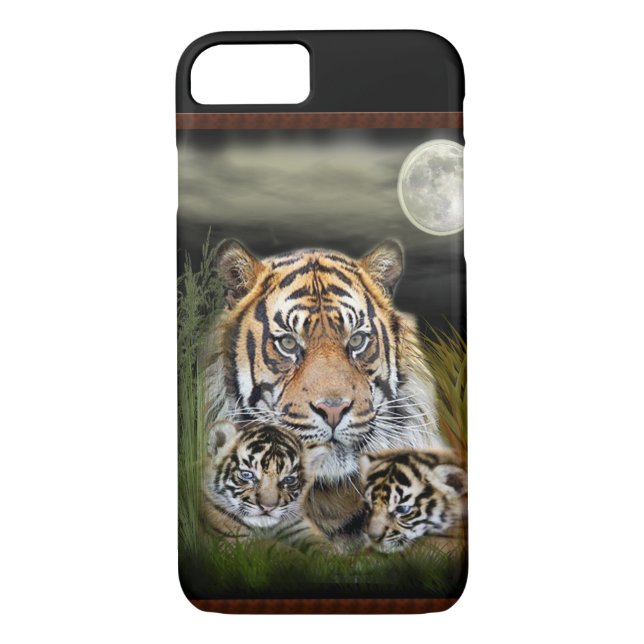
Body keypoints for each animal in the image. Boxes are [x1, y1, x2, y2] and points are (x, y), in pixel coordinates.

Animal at [203, 420, 330, 549]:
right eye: (247, 475)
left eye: (288, 480)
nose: (268, 507)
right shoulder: (235, 540)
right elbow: (278, 548)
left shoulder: (298, 525)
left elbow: (324, 546)